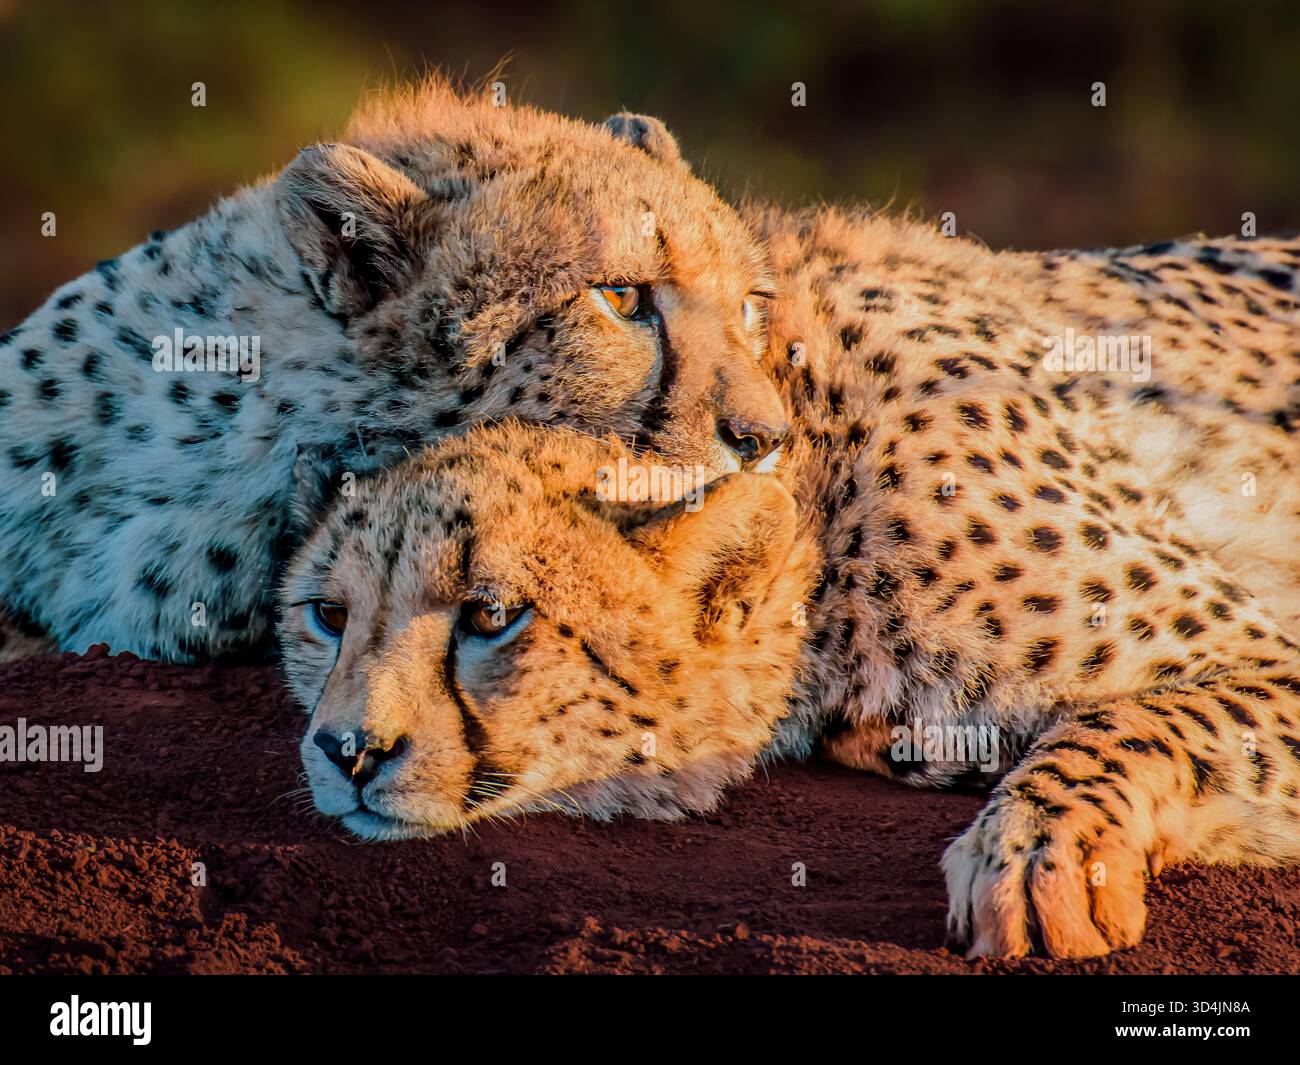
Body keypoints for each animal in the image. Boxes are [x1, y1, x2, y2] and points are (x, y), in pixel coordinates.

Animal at [278, 205, 1300, 960]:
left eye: (492, 615)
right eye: (327, 616)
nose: (349, 751)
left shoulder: (1261, 652)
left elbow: (1125, 722)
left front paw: (1045, 852)